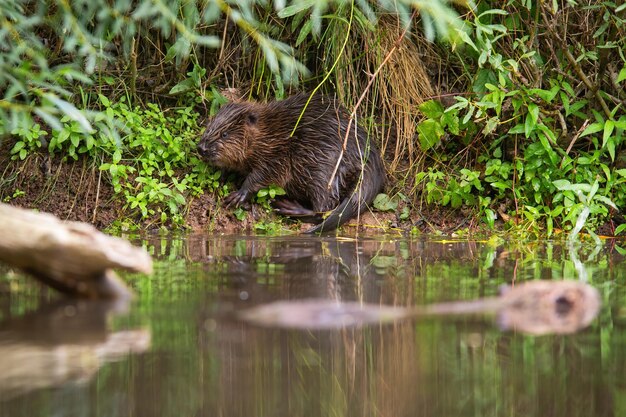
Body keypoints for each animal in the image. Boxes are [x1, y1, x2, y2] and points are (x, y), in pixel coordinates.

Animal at [197, 92, 382, 232]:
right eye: (209, 125)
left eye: (225, 134)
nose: (201, 148)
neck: (271, 133)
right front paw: (222, 175)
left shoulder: (279, 155)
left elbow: (267, 175)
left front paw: (238, 195)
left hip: (323, 169)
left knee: (323, 209)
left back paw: (288, 207)